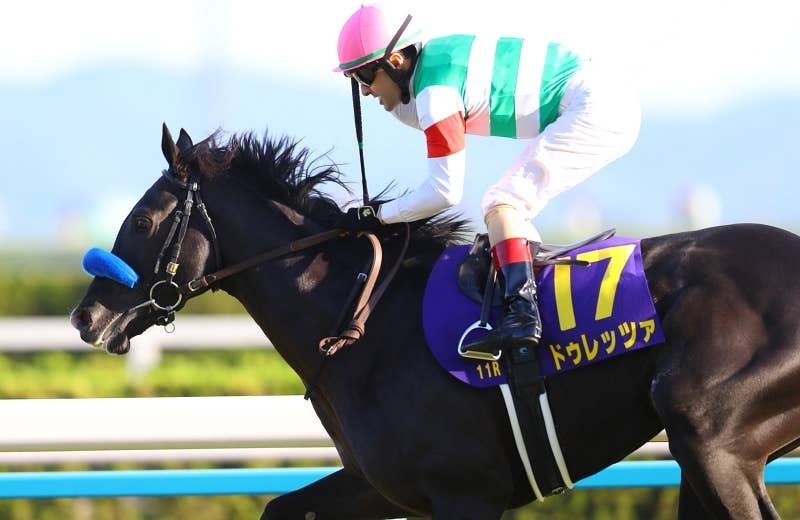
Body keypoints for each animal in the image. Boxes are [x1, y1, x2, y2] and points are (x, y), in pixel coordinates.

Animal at [70, 124, 800, 519]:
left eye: (143, 220)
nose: (85, 316)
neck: (364, 322)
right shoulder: (387, 486)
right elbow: (281, 506)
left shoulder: (466, 493)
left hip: (708, 435)